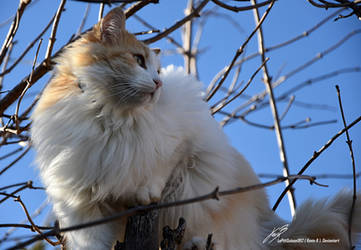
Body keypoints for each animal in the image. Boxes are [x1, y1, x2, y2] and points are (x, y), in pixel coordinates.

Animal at [31, 6, 360, 249]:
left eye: (157, 70)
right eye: (138, 60)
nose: (158, 83)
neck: (109, 115)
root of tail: (271, 228)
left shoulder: (185, 138)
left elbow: (160, 168)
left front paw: (144, 192)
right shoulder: (84, 209)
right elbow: (94, 242)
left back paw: (197, 243)